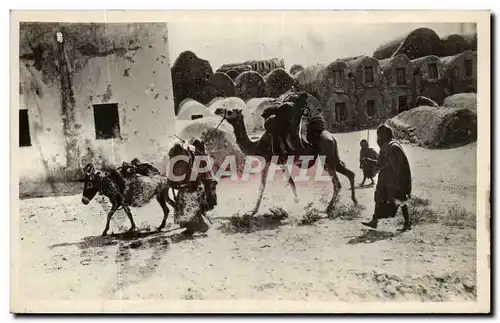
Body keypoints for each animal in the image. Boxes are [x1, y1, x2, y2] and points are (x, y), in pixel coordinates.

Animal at [213, 90, 358, 215]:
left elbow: (285, 182)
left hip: (326, 157)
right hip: (333, 157)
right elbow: (266, 185)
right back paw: (354, 203)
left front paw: (297, 202)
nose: (217, 110)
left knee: (337, 184)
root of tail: (332, 137)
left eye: (230, 111)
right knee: (350, 174)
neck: (258, 144)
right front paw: (254, 210)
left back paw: (327, 209)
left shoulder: (277, 160)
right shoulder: (269, 160)